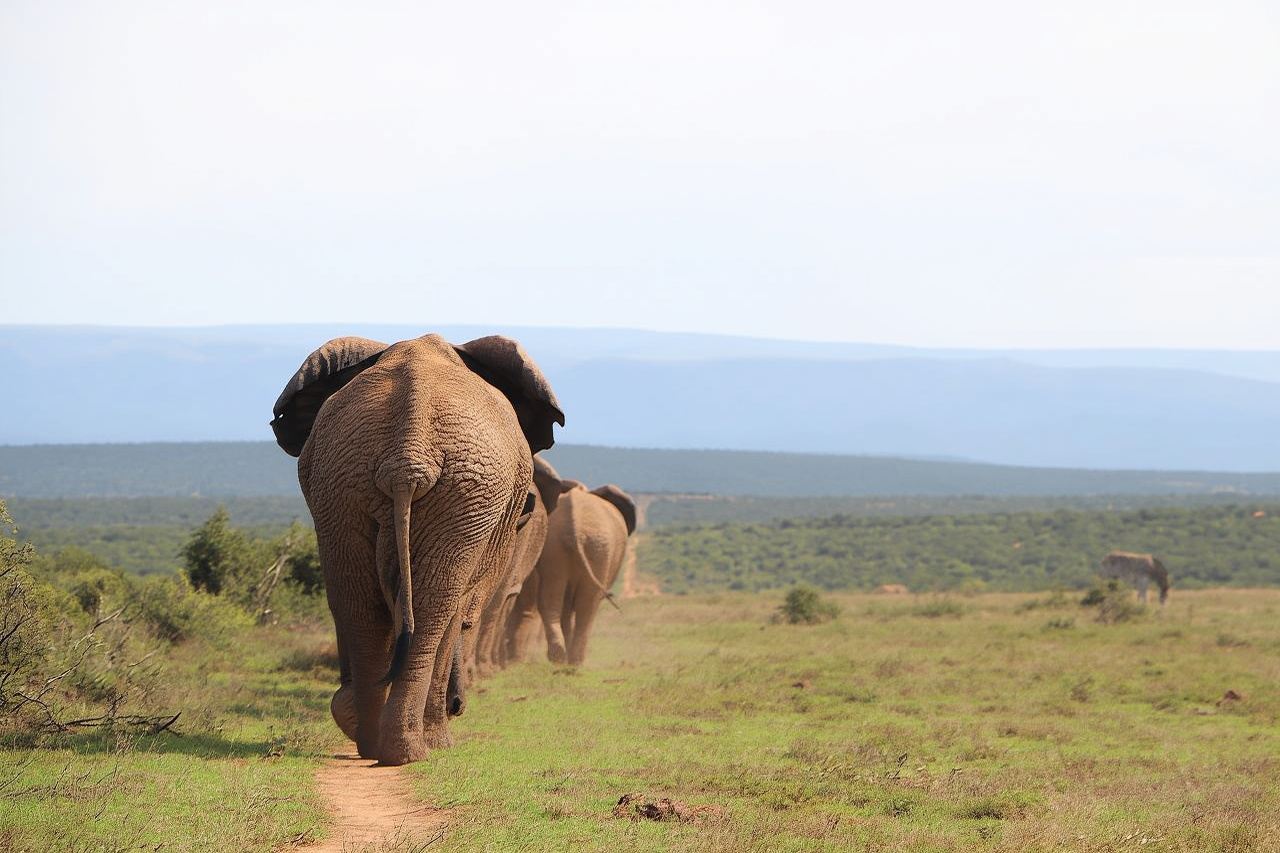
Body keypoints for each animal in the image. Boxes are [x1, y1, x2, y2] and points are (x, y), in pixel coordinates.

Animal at [270, 332, 563, 765]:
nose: (459, 706)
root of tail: (408, 456)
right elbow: (458, 612)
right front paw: (439, 739)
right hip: (465, 493)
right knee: (433, 609)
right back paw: (410, 750)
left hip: (341, 480)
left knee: (359, 603)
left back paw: (370, 741)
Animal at [521, 479, 637, 666]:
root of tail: (575, 524)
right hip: (595, 548)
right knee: (588, 606)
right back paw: (574, 661)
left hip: (564, 545)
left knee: (553, 599)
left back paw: (560, 657)